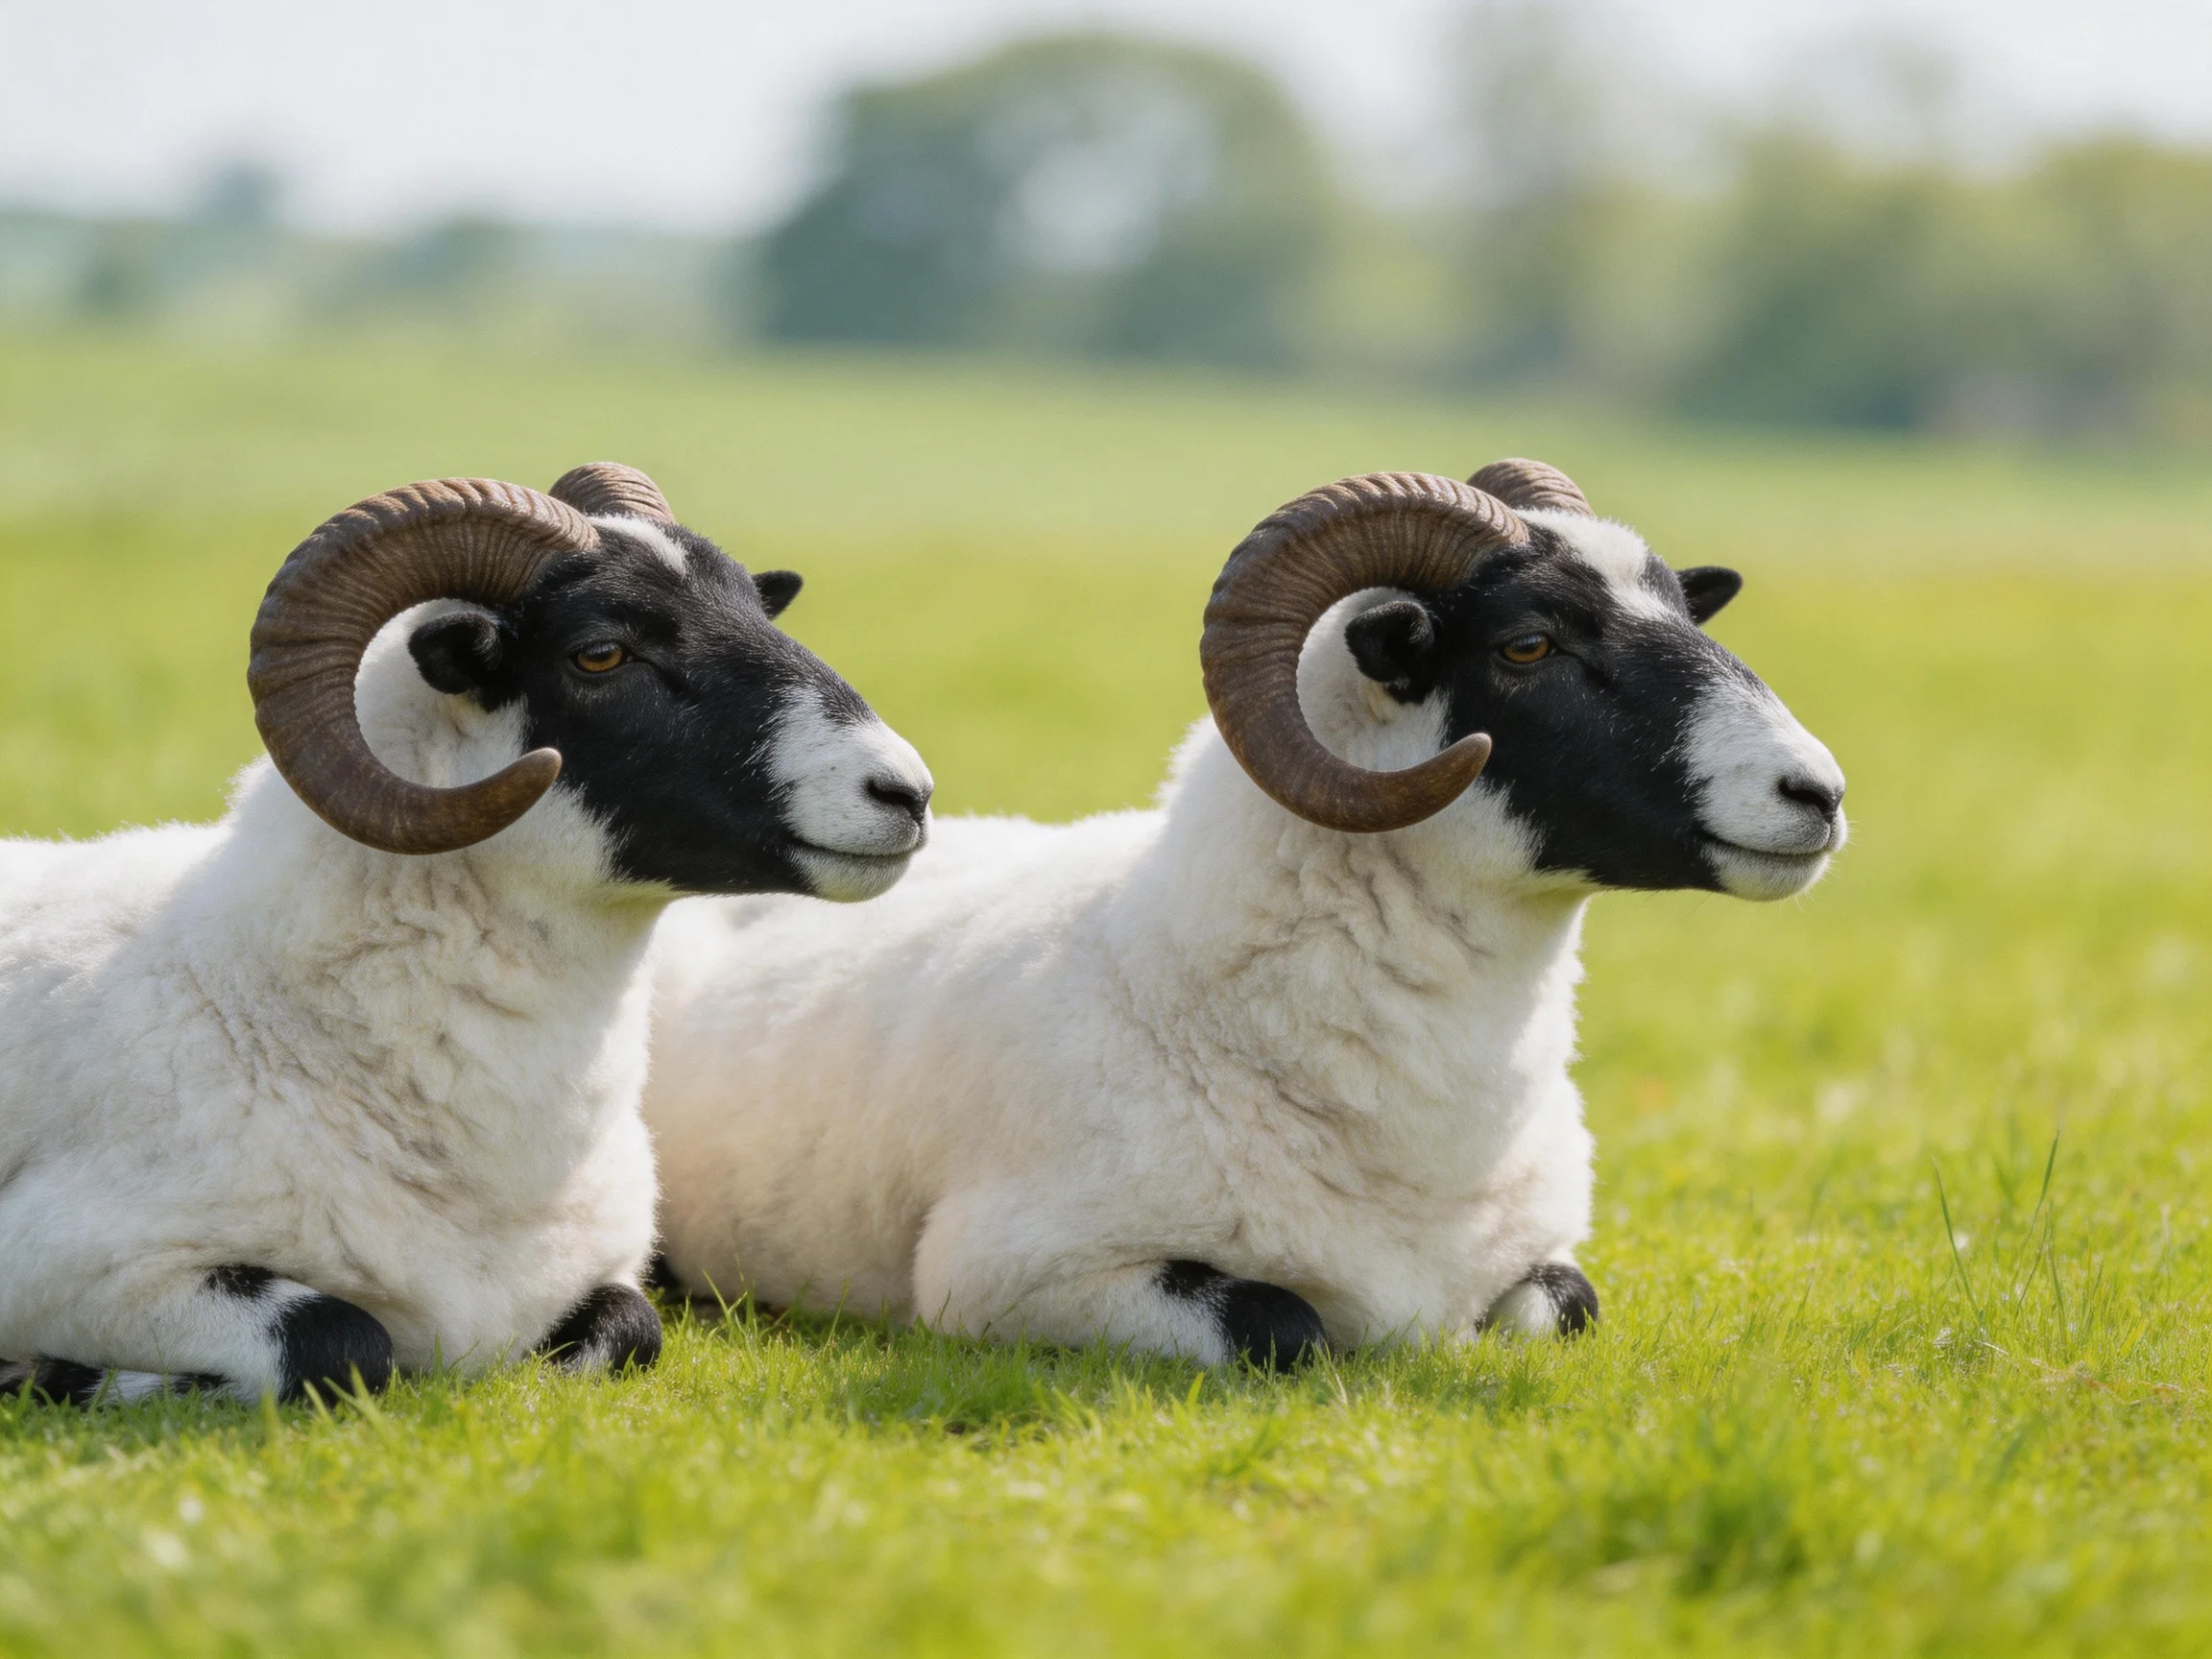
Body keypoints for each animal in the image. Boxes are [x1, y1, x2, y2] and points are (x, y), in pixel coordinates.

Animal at [0, 462, 934, 1405]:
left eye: (755, 605)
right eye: (601, 652)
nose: (906, 791)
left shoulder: (603, 1276)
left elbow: (633, 1329)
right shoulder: (65, 1258)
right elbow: (338, 1339)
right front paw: (70, 1375)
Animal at [644, 462, 1845, 1367]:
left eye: (1680, 607)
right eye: (1528, 643)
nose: (1818, 794)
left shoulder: (1544, 1260)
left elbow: (1561, 1310)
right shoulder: (1009, 1274)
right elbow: (1285, 1325)